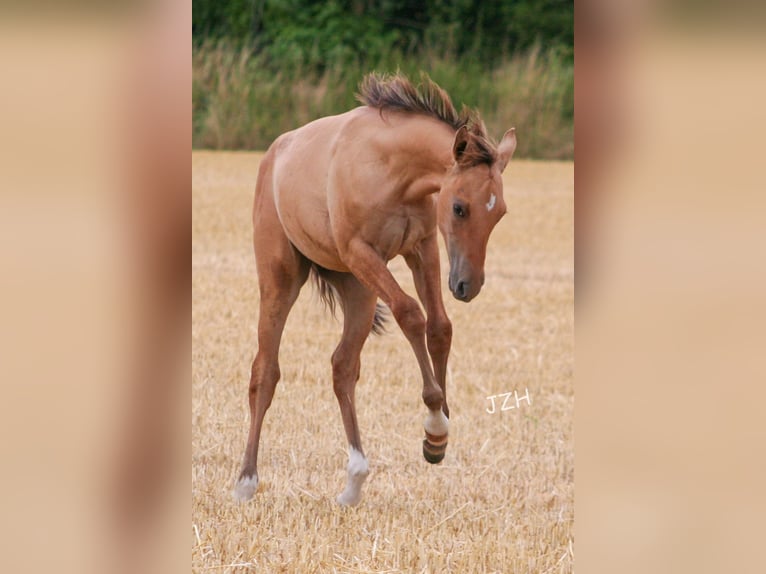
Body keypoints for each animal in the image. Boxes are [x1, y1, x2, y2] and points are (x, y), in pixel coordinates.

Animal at [234, 73, 520, 508]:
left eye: (500, 212)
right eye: (458, 207)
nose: (468, 286)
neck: (391, 169)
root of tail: (273, 156)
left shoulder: (423, 248)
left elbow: (440, 327)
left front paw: (437, 436)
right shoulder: (363, 251)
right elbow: (411, 314)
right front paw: (435, 419)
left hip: (358, 287)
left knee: (343, 366)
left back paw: (354, 480)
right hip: (282, 280)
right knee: (265, 371)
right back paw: (247, 480)